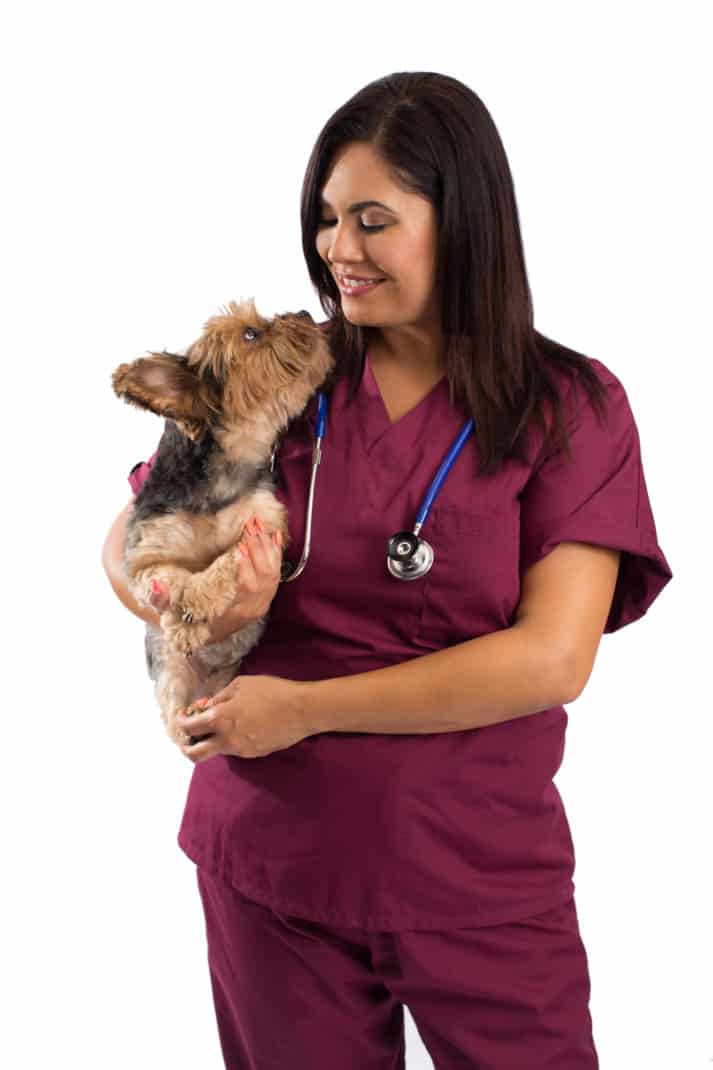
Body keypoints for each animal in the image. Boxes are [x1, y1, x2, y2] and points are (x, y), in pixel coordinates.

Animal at [110, 297, 334, 749]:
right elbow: (165, 577)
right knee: (174, 717)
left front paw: (196, 604)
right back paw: (188, 716)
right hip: (171, 676)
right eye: (251, 334)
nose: (304, 312)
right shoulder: (144, 555)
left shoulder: (265, 533)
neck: (221, 478)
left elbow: (228, 558)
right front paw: (183, 619)